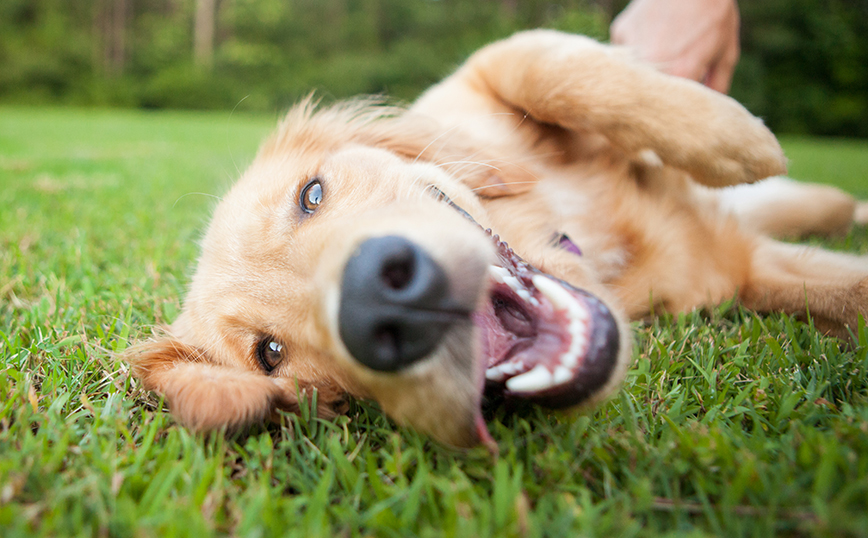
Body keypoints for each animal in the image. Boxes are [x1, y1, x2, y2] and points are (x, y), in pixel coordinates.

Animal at [129, 31, 868, 446]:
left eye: (311, 195)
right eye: (271, 355)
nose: (380, 301)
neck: (581, 243)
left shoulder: (482, 76)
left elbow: (551, 66)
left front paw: (732, 137)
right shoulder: (737, 270)